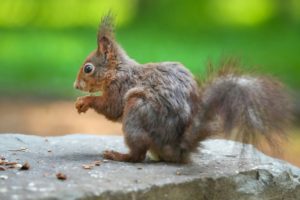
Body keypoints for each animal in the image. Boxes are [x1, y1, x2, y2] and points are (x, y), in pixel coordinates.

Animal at [73, 14, 290, 163]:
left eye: (88, 68)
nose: (75, 86)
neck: (117, 70)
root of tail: (176, 148)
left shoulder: (121, 86)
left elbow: (112, 107)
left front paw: (85, 101)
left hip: (136, 110)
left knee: (138, 155)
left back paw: (117, 155)